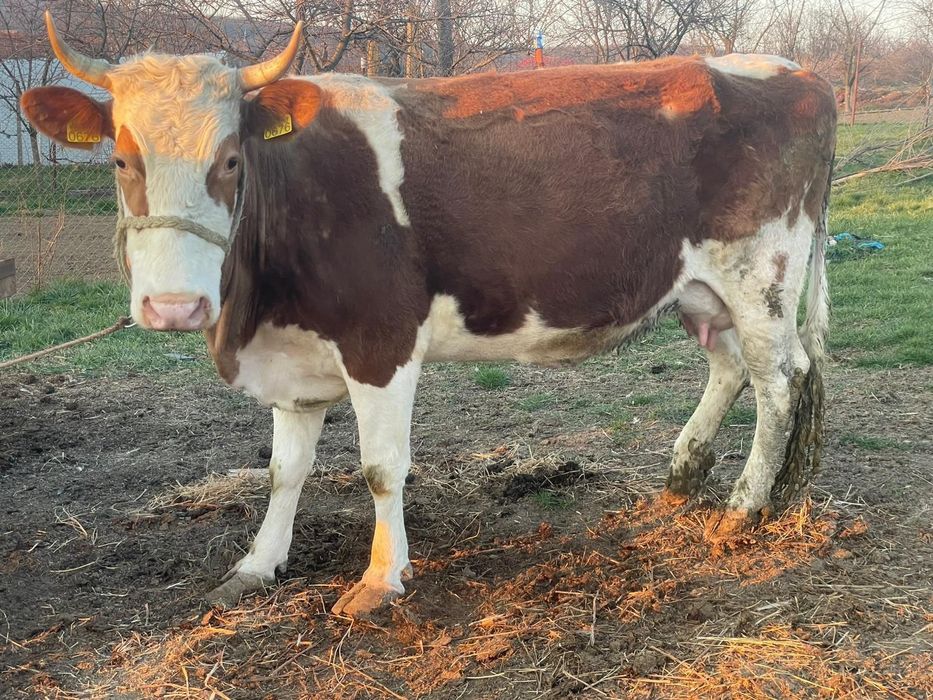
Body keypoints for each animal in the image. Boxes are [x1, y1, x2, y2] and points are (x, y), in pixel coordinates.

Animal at [22, 13, 835, 617]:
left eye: (229, 160)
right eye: (120, 160)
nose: (173, 307)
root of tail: (797, 72)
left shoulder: (381, 340)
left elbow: (382, 468)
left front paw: (380, 580)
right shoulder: (294, 360)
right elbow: (285, 470)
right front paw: (257, 564)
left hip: (762, 275)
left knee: (778, 382)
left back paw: (742, 507)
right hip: (701, 289)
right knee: (729, 367)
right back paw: (682, 476)